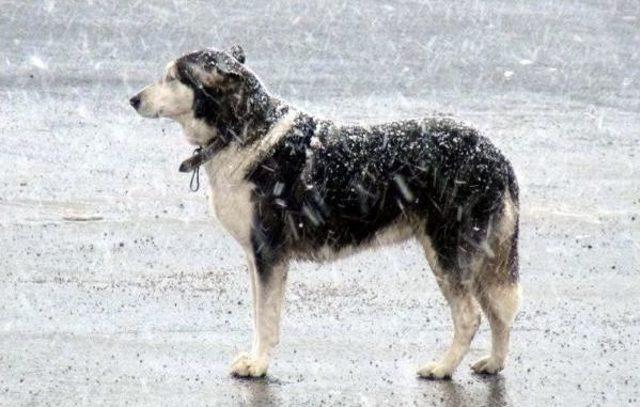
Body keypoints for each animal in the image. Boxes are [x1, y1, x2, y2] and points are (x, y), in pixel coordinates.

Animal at [129, 44, 520, 380]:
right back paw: (493, 363)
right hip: (481, 257)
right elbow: (259, 314)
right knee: (499, 313)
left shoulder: (268, 251)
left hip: (448, 252)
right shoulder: (257, 256)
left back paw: (442, 368)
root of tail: (497, 156)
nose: (133, 99)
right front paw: (256, 359)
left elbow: (266, 317)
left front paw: (258, 365)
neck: (242, 131)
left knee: (470, 317)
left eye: (173, 77)